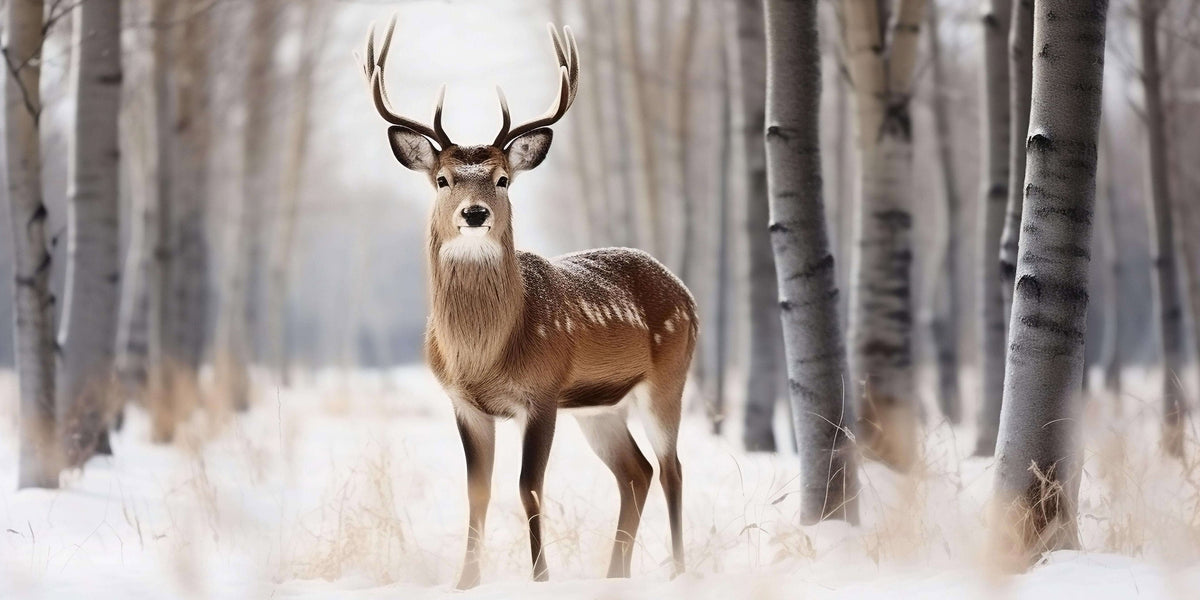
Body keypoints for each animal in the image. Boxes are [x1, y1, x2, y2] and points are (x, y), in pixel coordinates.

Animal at [358, 15, 697, 590]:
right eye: (443, 179)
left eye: (502, 178)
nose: (474, 213)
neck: (482, 355)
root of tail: (686, 292)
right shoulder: (464, 403)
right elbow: (477, 491)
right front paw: (465, 582)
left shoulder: (542, 392)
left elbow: (529, 487)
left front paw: (540, 579)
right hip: (600, 409)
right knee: (637, 471)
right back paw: (615, 575)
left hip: (669, 378)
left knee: (671, 467)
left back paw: (677, 569)